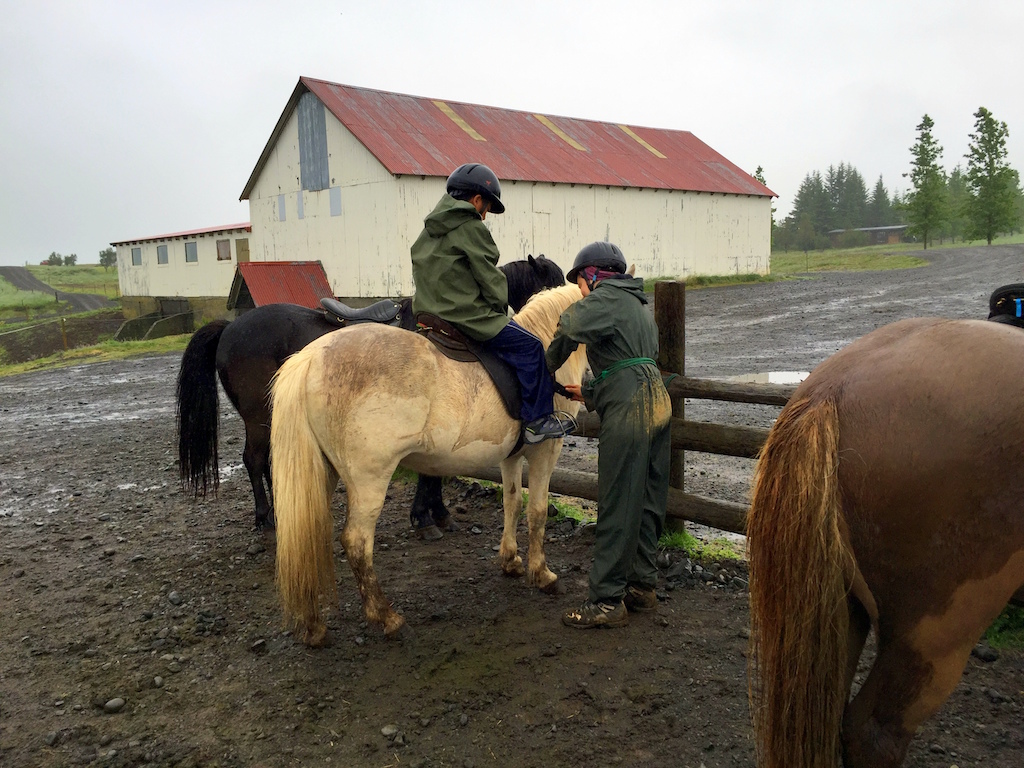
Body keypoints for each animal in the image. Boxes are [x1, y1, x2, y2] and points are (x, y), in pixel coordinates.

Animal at [172, 256, 565, 532]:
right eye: (553, 283)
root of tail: (230, 327)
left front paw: (435, 514)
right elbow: (431, 472)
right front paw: (427, 517)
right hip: (258, 418)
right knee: (255, 460)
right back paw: (265, 518)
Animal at [270, 284, 585, 643]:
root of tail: (310, 358)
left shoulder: (511, 456)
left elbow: (512, 504)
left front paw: (510, 561)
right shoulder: (546, 450)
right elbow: (538, 512)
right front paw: (543, 574)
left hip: (323, 474)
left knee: (308, 540)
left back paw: (314, 625)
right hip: (369, 480)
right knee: (356, 543)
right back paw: (387, 617)